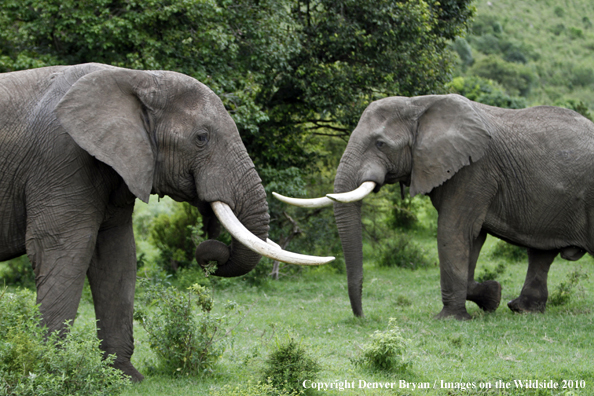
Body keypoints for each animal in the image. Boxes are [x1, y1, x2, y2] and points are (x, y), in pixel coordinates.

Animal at [0, 62, 330, 380]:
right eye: (201, 138)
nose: (209, 252)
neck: (136, 77)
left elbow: (116, 255)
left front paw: (124, 376)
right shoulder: (61, 158)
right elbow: (63, 250)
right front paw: (53, 369)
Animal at [276, 94, 592, 320]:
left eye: (380, 144)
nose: (362, 317)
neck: (419, 105)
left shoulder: (474, 169)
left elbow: (453, 231)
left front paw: (450, 318)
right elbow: (472, 238)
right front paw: (492, 296)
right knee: (541, 253)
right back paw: (521, 309)